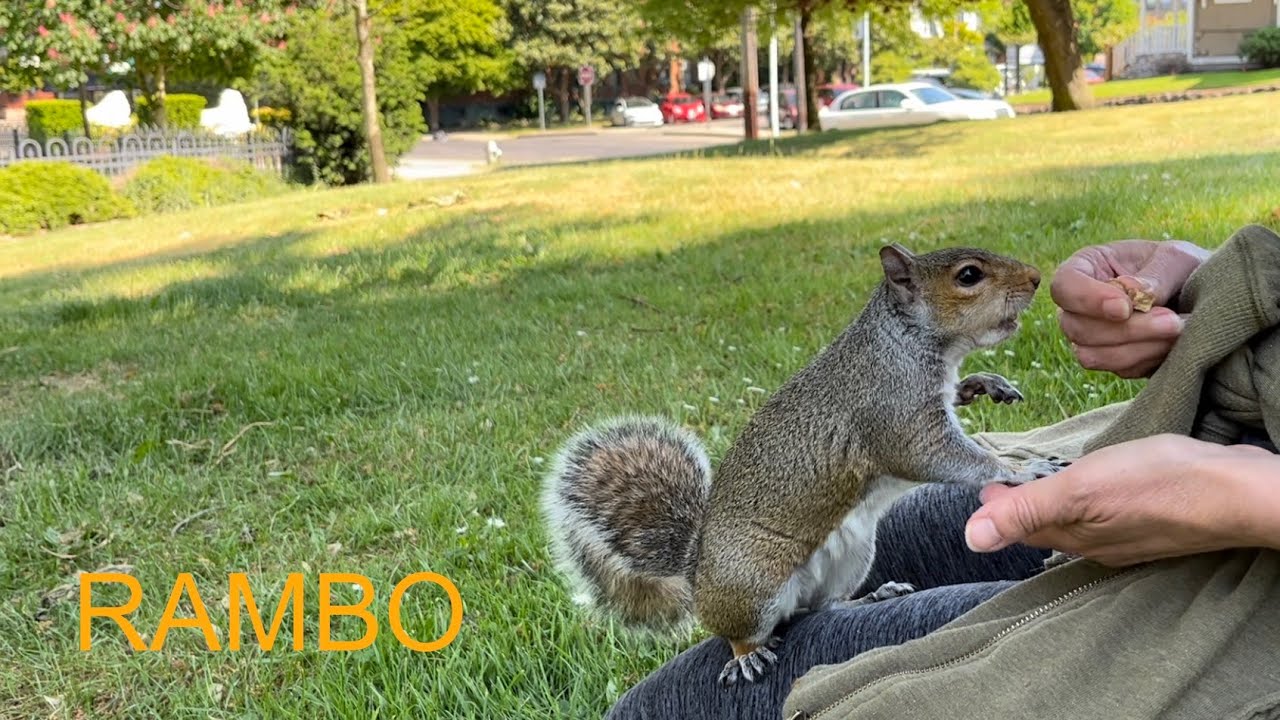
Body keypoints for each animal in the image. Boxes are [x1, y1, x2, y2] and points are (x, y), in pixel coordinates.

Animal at [541, 243, 1056, 687]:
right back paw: (748, 656)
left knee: (819, 609)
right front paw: (1020, 468)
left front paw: (987, 383)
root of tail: (696, 572)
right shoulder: (895, 414)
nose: (1036, 277)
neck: (906, 342)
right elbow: (943, 456)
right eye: (968, 276)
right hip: (753, 584)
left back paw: (873, 595)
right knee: (742, 630)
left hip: (852, 556)